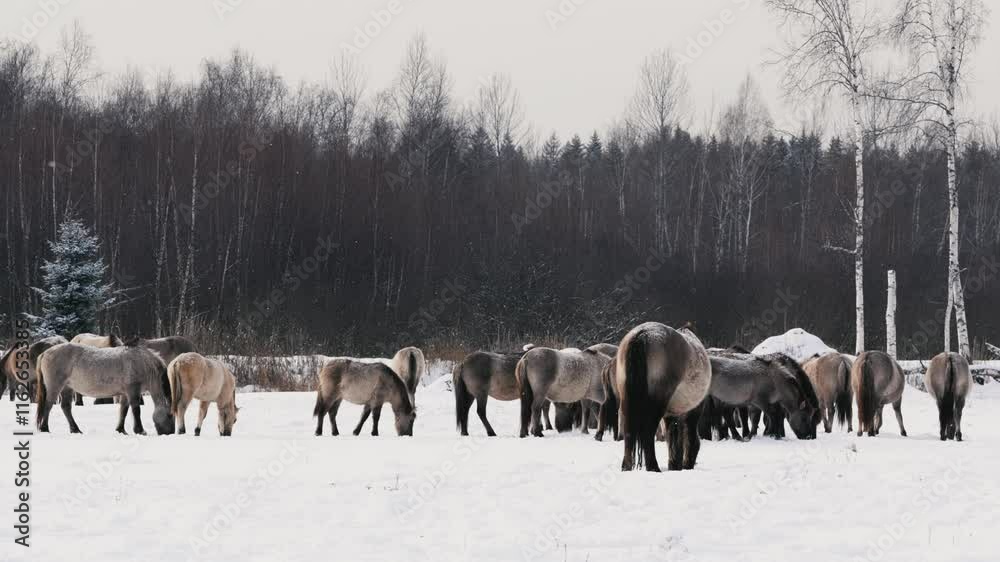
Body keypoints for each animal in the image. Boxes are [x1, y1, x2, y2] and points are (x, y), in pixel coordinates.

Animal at [35, 343, 175, 435]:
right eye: (169, 415)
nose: (170, 433)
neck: (143, 363)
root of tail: (45, 353)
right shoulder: (133, 390)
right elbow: (136, 410)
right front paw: (140, 431)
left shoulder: (125, 393)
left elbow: (123, 410)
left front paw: (121, 430)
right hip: (55, 386)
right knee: (48, 405)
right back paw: (45, 428)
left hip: (67, 388)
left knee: (66, 407)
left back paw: (75, 429)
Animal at [616, 322, 712, 472]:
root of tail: (642, 334)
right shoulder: (693, 411)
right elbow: (689, 438)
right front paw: (684, 464)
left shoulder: (671, 414)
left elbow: (673, 439)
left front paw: (674, 465)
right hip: (656, 405)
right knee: (648, 433)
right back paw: (653, 467)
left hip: (627, 401)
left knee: (628, 433)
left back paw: (626, 467)